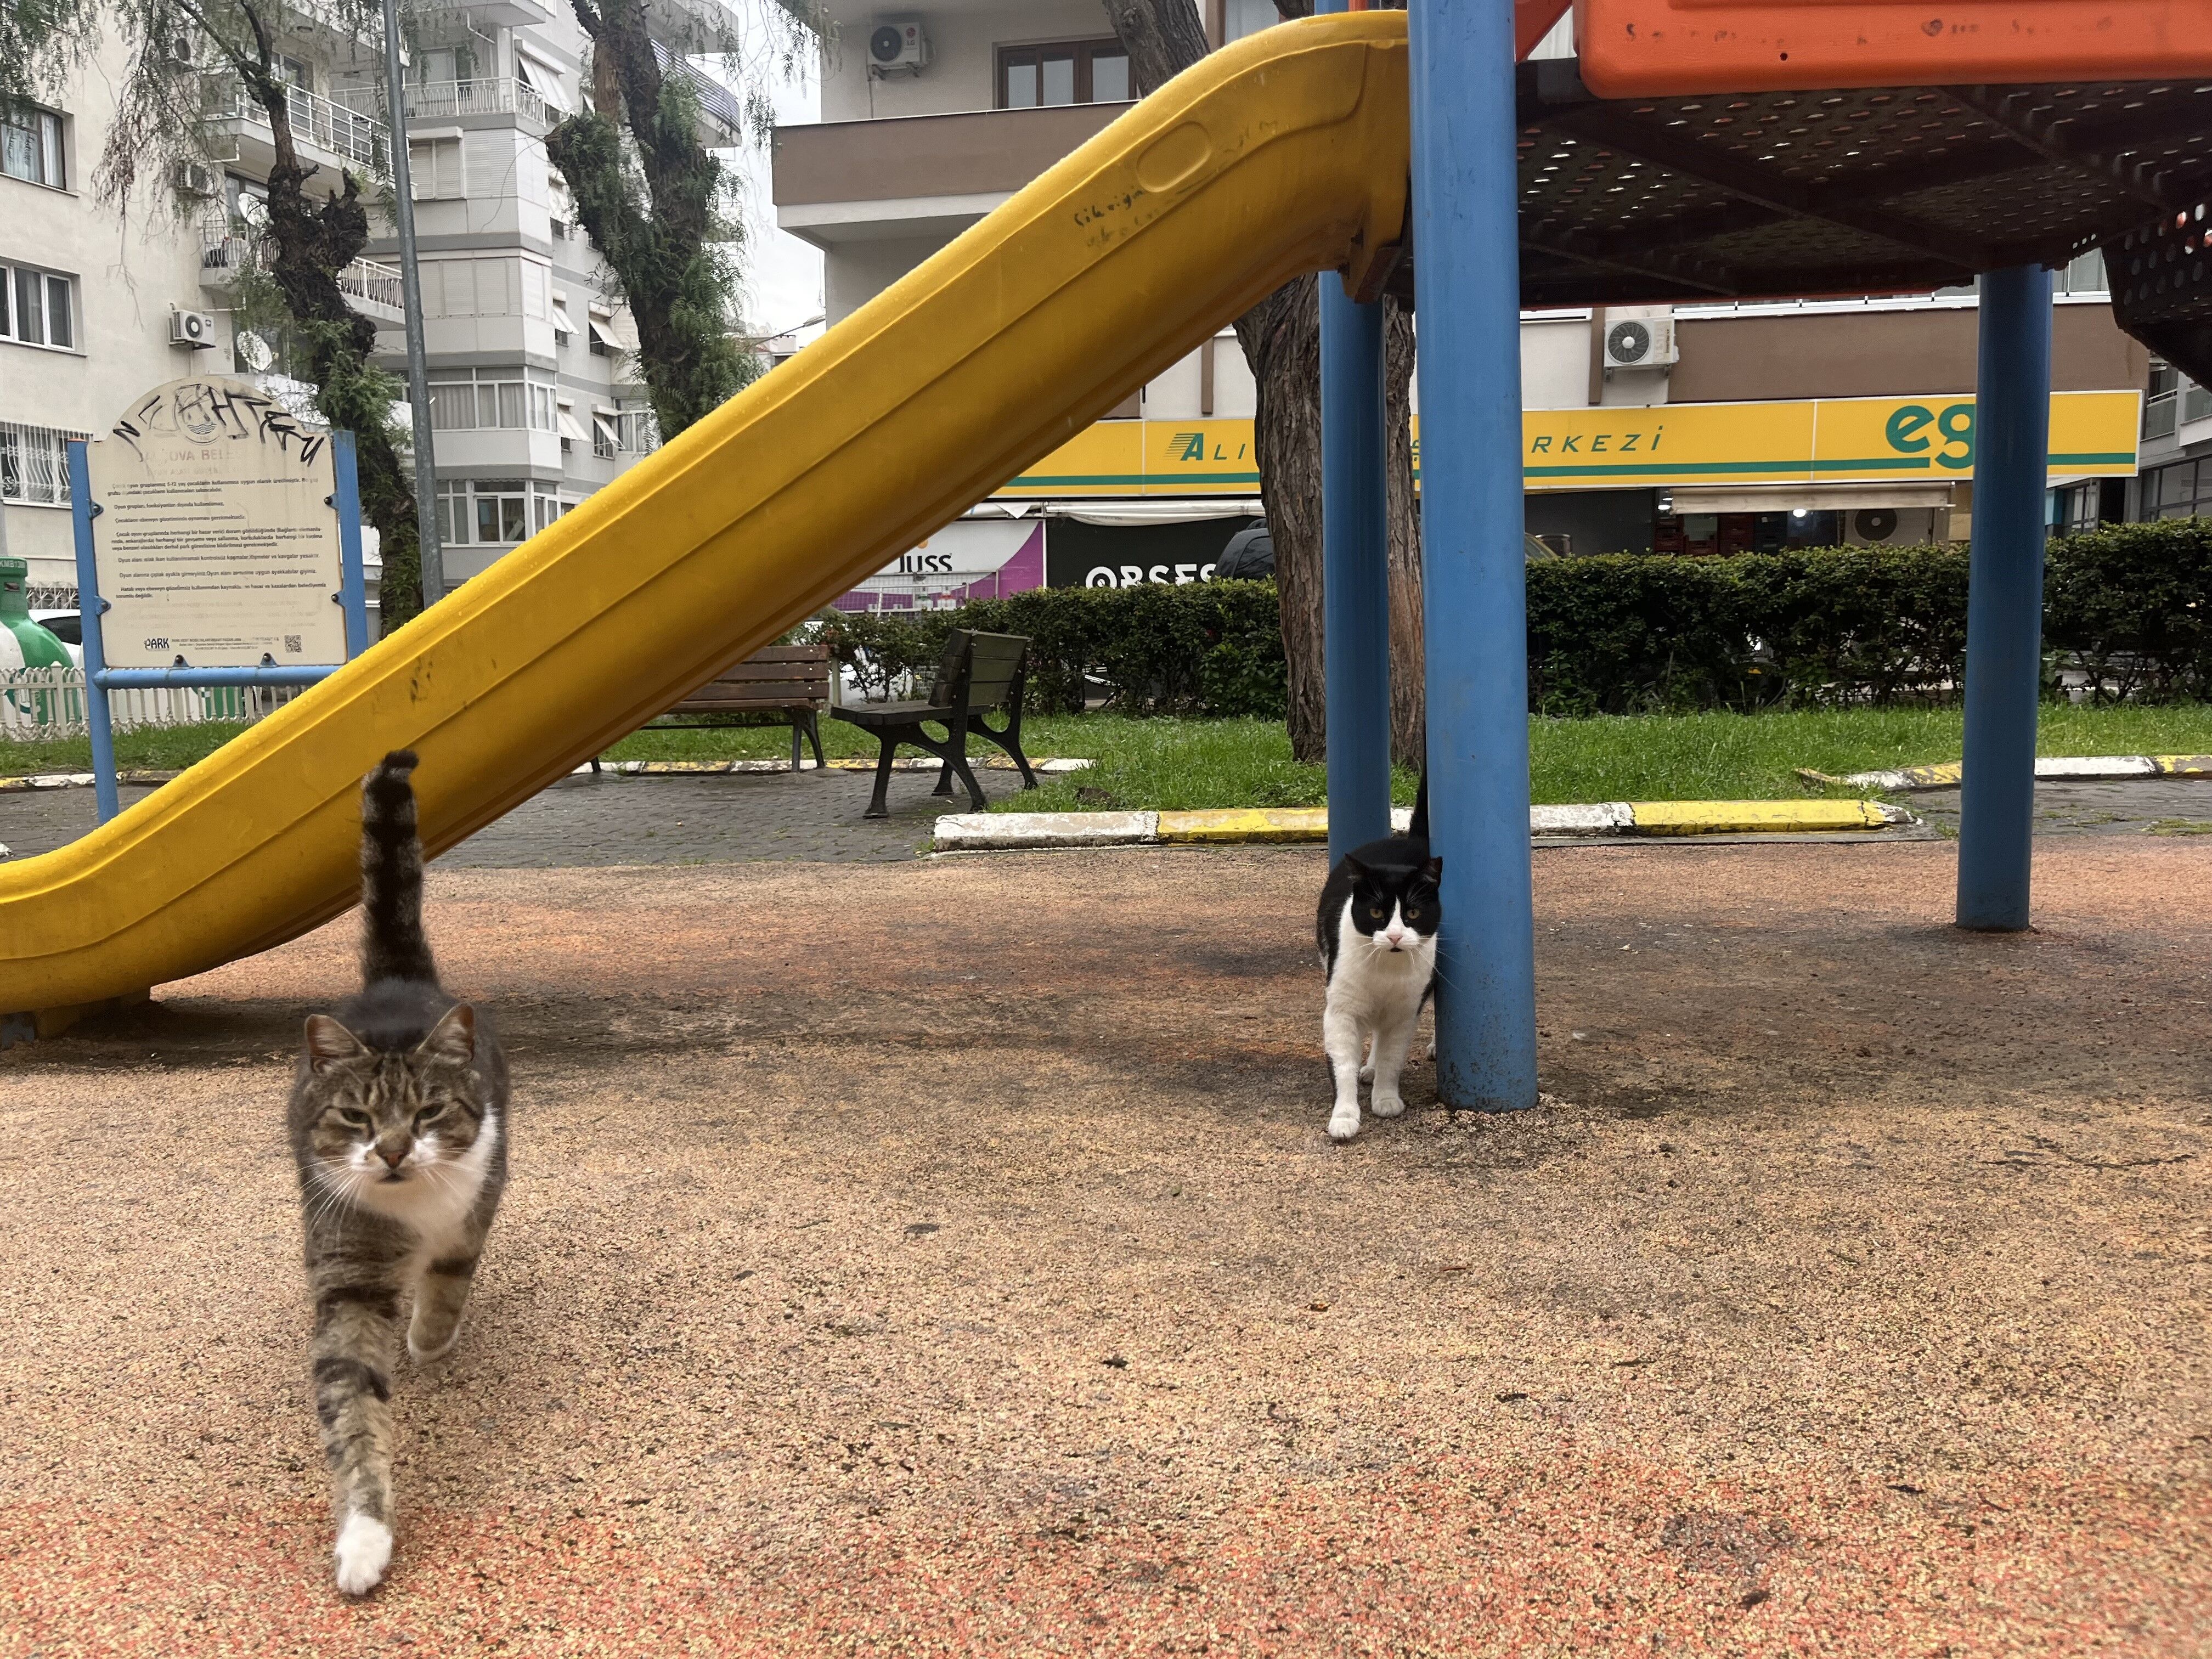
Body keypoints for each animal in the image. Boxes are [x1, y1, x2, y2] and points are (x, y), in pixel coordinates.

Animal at [285, 750, 509, 1596]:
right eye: (356, 1118)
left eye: (428, 1113)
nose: (389, 1152)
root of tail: (395, 983)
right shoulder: (348, 1265)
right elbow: (352, 1401)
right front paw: (363, 1537)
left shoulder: (479, 1197)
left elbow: (449, 1279)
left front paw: (428, 1341)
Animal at [1316, 773, 1440, 1142]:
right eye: (1375, 913)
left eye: (1412, 913)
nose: (1395, 936)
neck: (1386, 970)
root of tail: (1413, 843)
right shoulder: (1341, 1010)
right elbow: (1342, 1065)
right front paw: (1344, 1116)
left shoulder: (1404, 1013)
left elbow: (1392, 1057)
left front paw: (1386, 1099)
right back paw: (1367, 1068)